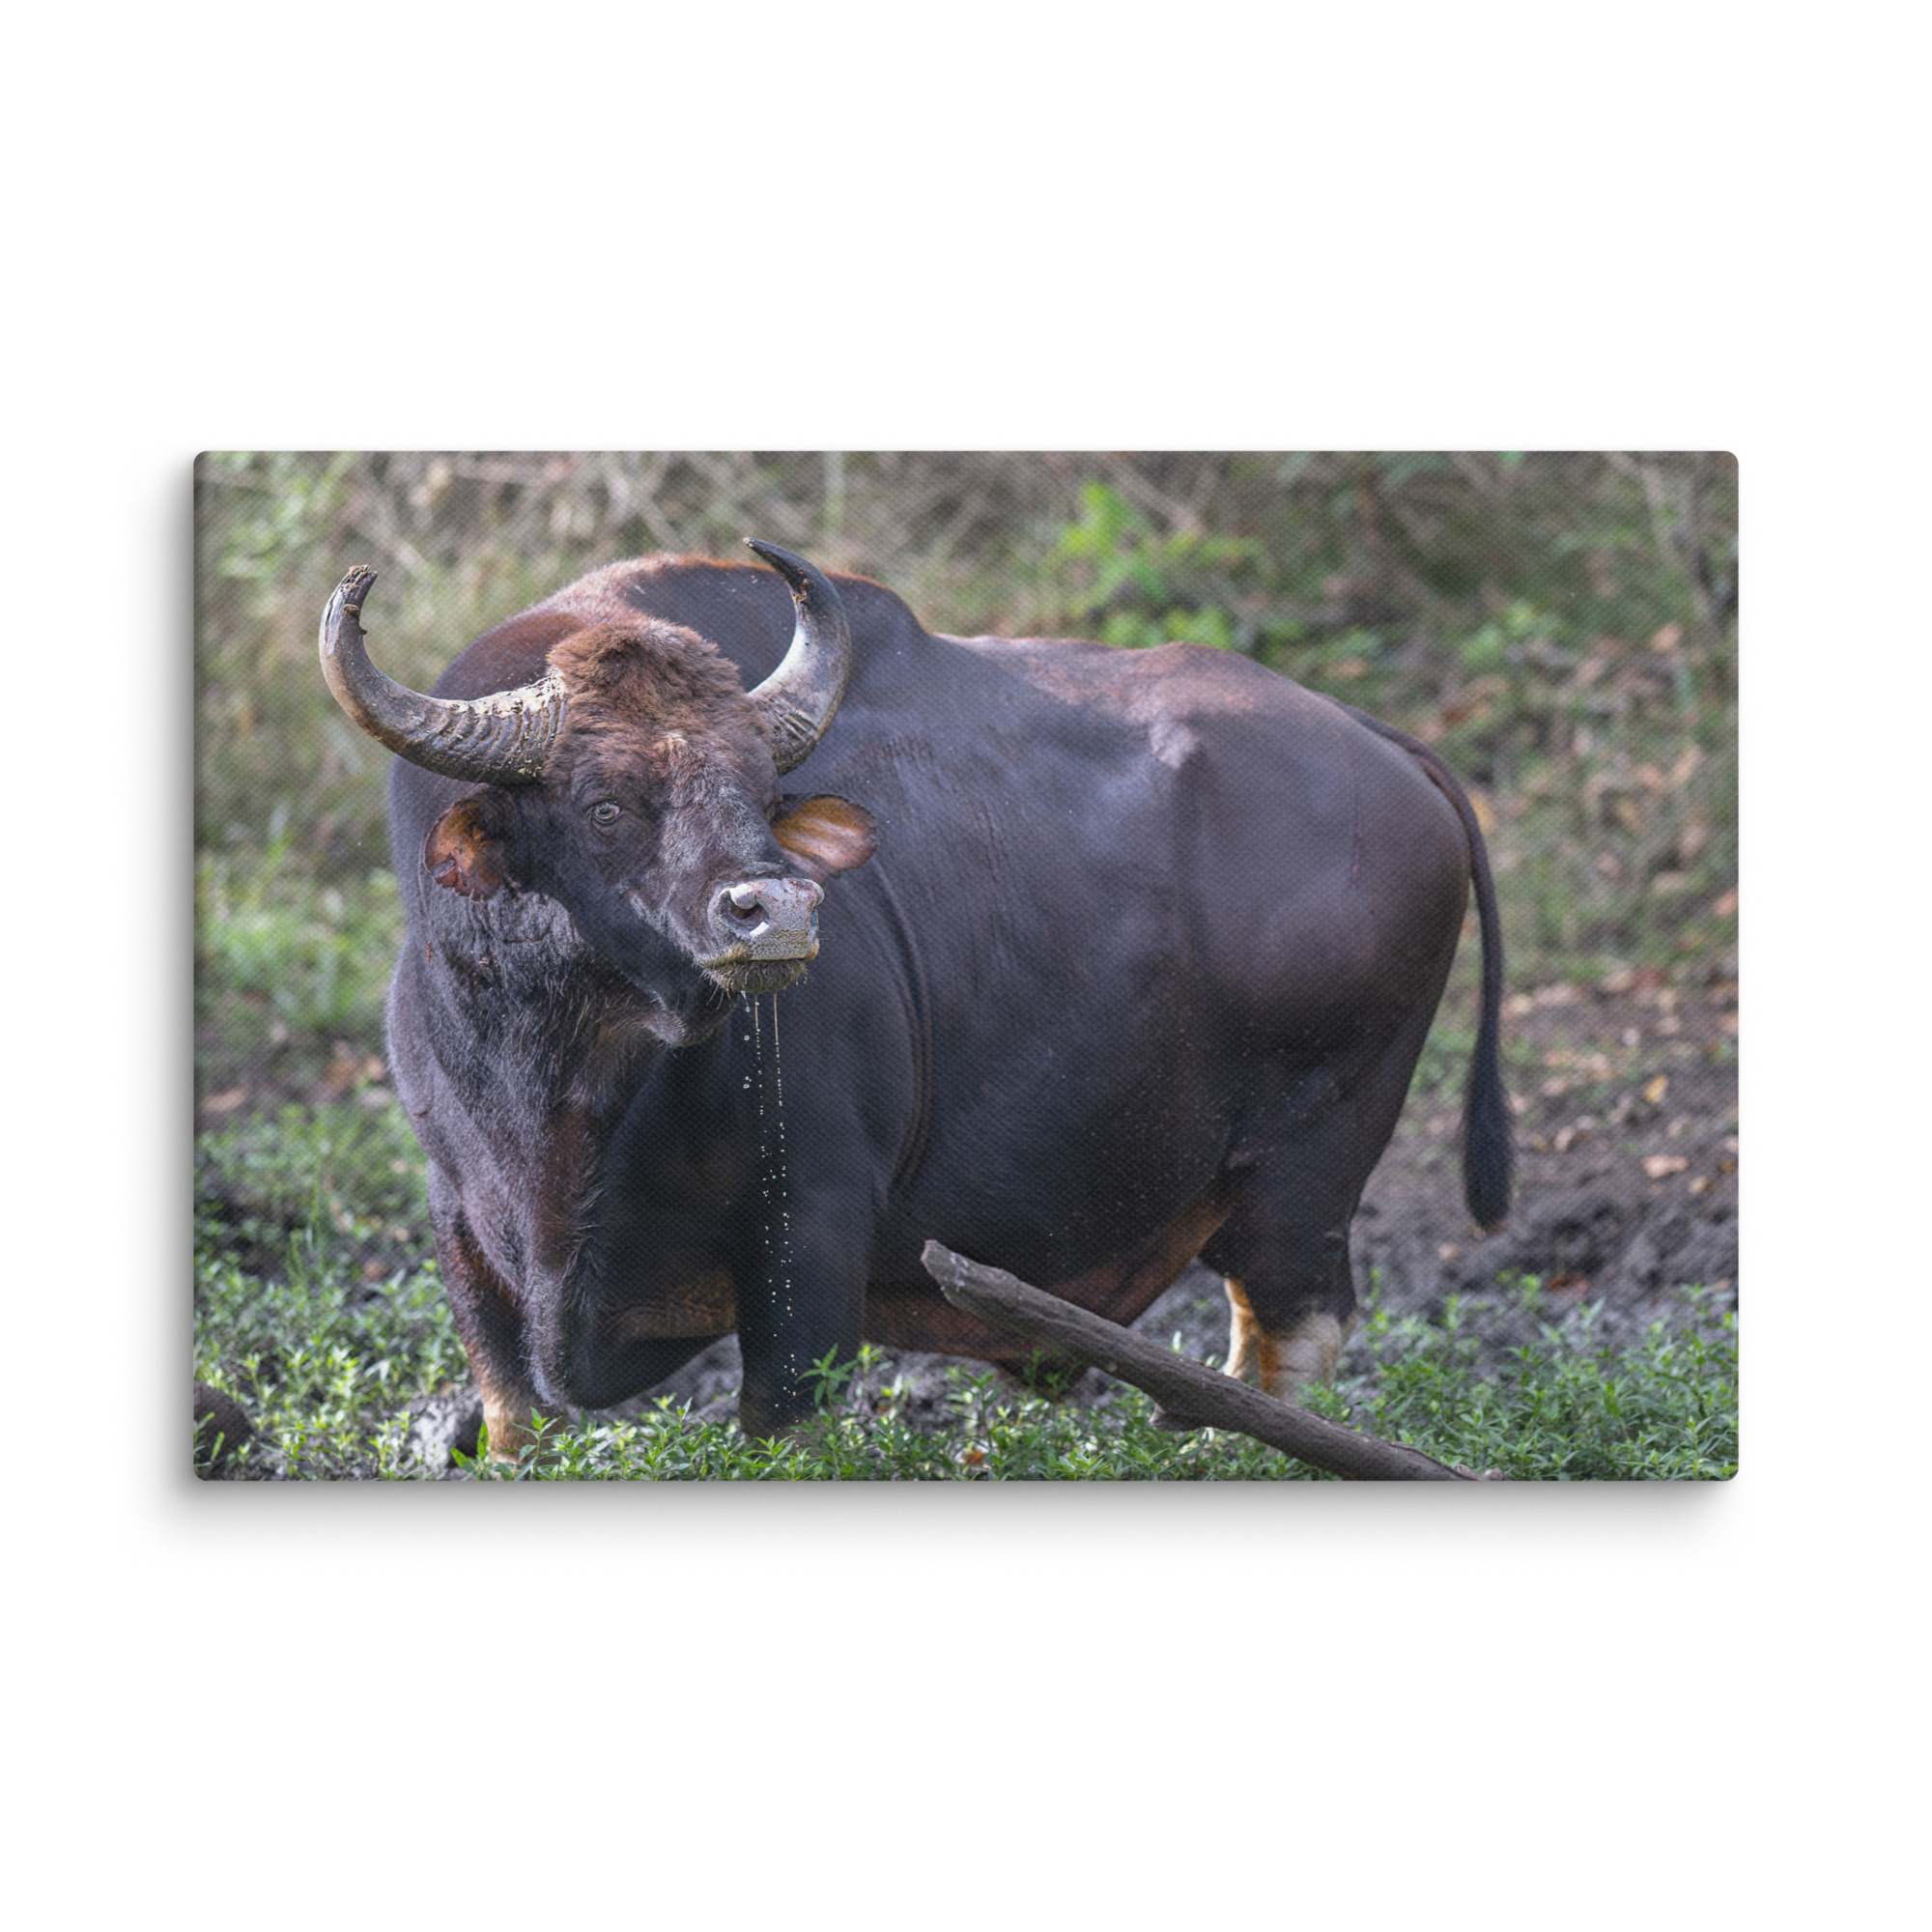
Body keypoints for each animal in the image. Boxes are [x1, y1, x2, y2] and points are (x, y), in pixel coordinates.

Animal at [319, 542, 1510, 1455]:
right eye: (606, 803)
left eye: (758, 789)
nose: (775, 912)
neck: (566, 1094)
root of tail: (1385, 748)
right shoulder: (464, 1235)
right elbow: (514, 1418)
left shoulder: (811, 1236)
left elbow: (784, 1424)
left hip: (1310, 1172)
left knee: (1295, 1335)